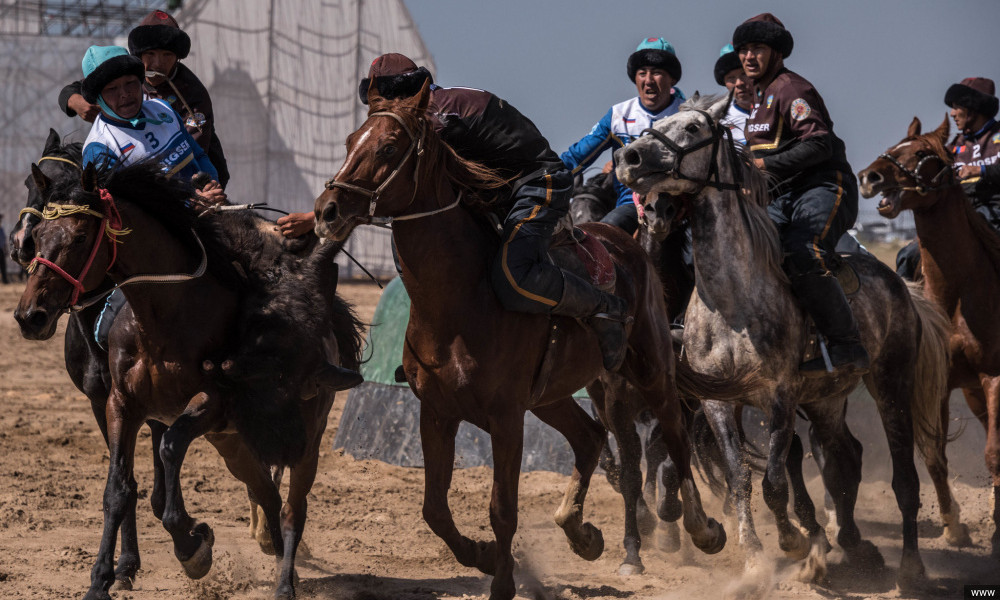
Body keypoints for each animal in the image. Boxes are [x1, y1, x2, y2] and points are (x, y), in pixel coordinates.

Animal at [14, 161, 364, 600]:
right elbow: (118, 489)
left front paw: (193, 546)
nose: (30, 315)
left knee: (291, 507)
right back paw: (280, 560)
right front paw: (101, 580)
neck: (165, 318)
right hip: (235, 444)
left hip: (304, 439)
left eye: (79, 237)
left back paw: (285, 582)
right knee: (266, 492)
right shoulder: (119, 405)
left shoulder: (210, 405)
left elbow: (169, 453)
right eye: (39, 236)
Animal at [310, 81, 752, 600]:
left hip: (651, 367)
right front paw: (482, 556)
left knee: (675, 436)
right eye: (349, 142)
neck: (460, 300)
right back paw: (581, 533)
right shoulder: (437, 411)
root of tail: (628, 245)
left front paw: (503, 581)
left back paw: (702, 529)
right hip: (555, 395)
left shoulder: (505, 418)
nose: (327, 211)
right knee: (590, 437)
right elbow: (434, 508)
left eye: (388, 147)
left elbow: (502, 508)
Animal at [616, 94, 952, 592]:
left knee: (905, 481)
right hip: (827, 400)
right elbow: (740, 479)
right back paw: (856, 547)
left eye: (693, 128)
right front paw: (755, 560)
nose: (629, 158)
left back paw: (909, 569)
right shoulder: (717, 403)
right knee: (845, 457)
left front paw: (795, 544)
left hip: (891, 385)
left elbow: (774, 480)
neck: (731, 301)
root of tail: (898, 285)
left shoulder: (779, 397)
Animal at [860, 116, 1000, 556]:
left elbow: (993, 453)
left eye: (923, 152)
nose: (869, 177)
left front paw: (996, 530)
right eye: (894, 146)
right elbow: (935, 455)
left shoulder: (995, 377)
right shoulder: (938, 382)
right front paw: (953, 527)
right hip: (971, 393)